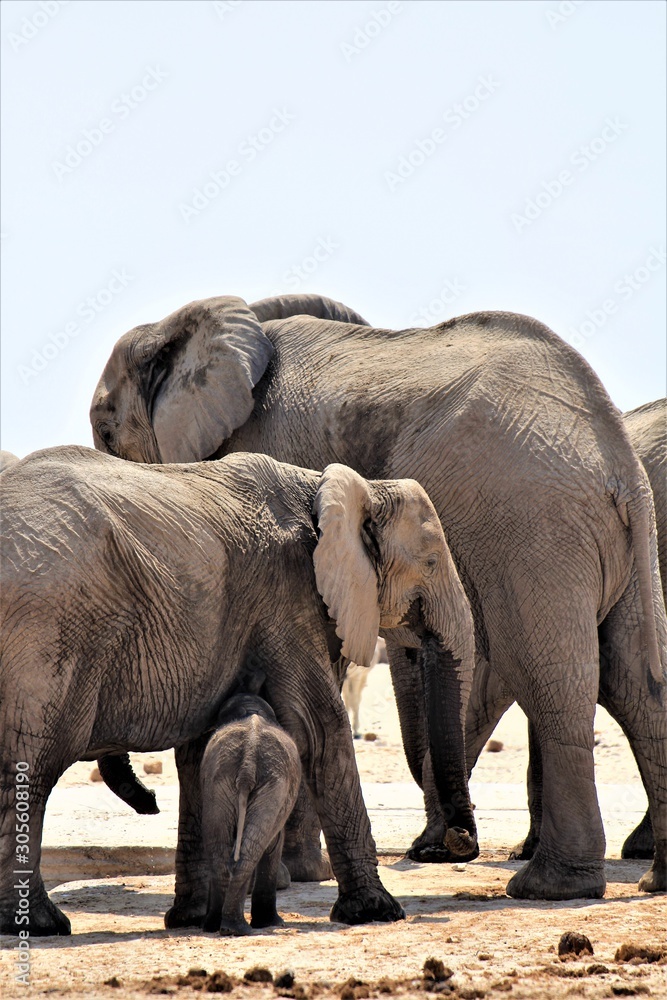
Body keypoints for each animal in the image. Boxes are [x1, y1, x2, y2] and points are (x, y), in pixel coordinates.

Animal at [91, 293, 667, 900]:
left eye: (106, 431)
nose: (150, 803)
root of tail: (619, 462)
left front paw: (297, 875)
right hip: (610, 541)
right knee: (635, 683)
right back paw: (647, 877)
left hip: (534, 530)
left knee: (547, 678)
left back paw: (548, 887)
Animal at [201, 693, 301, 936]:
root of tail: (248, 761)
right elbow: (274, 843)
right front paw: (271, 923)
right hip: (272, 787)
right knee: (251, 850)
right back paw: (238, 928)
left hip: (219, 782)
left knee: (219, 850)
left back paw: (216, 925)